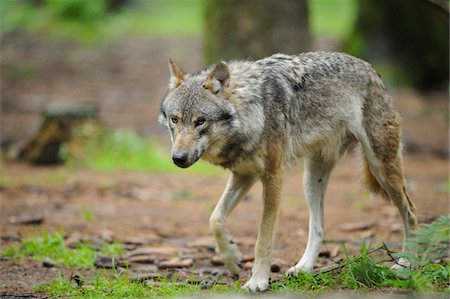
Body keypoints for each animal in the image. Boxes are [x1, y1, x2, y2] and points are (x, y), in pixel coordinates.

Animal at [158, 52, 418, 292]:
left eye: (200, 121)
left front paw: (258, 281)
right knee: (318, 228)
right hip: (311, 180)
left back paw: (406, 263)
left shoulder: (272, 176)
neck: (253, 110)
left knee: (411, 213)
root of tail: (371, 69)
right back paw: (303, 267)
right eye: (175, 120)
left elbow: (263, 238)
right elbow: (215, 219)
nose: (178, 158)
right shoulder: (245, 174)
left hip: (381, 168)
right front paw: (231, 258)